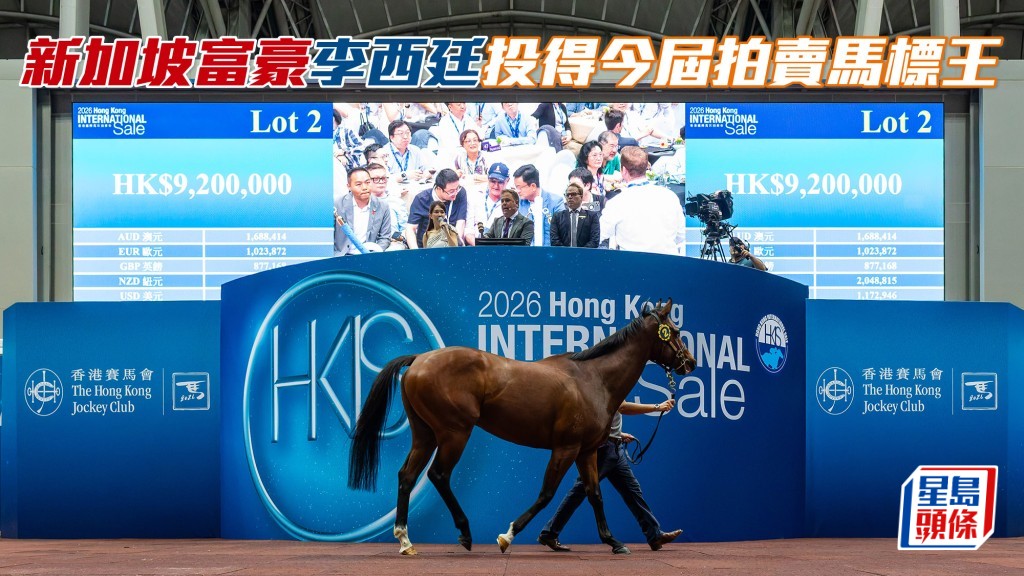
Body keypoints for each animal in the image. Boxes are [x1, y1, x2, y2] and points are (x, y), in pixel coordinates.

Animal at [348, 300, 696, 555]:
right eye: (675, 330)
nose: (690, 363)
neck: (593, 379)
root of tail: (419, 359)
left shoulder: (586, 451)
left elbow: (594, 494)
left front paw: (614, 542)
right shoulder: (565, 448)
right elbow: (546, 494)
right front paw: (508, 535)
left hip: (425, 434)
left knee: (407, 476)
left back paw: (405, 540)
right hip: (454, 433)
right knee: (438, 475)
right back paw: (465, 533)